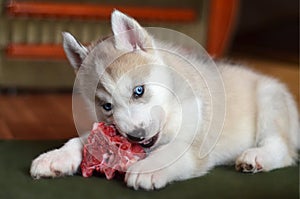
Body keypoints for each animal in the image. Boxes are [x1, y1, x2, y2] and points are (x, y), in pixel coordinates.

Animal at [29, 10, 298, 190]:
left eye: (139, 91)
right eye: (107, 106)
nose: (136, 136)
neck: (170, 110)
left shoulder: (196, 144)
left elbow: (176, 150)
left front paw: (147, 168)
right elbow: (81, 139)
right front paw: (55, 157)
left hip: (269, 100)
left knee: (282, 148)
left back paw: (256, 157)